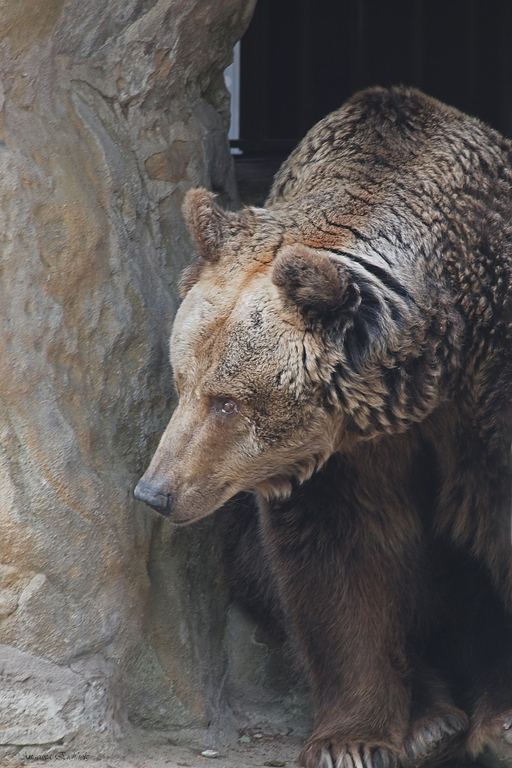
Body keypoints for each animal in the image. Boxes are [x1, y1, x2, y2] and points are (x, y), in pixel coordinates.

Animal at [135, 87, 512, 768]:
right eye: (182, 381)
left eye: (226, 402)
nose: (155, 491)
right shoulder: (339, 454)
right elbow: (340, 557)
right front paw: (354, 739)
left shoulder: (486, 393)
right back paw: (431, 718)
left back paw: (493, 719)